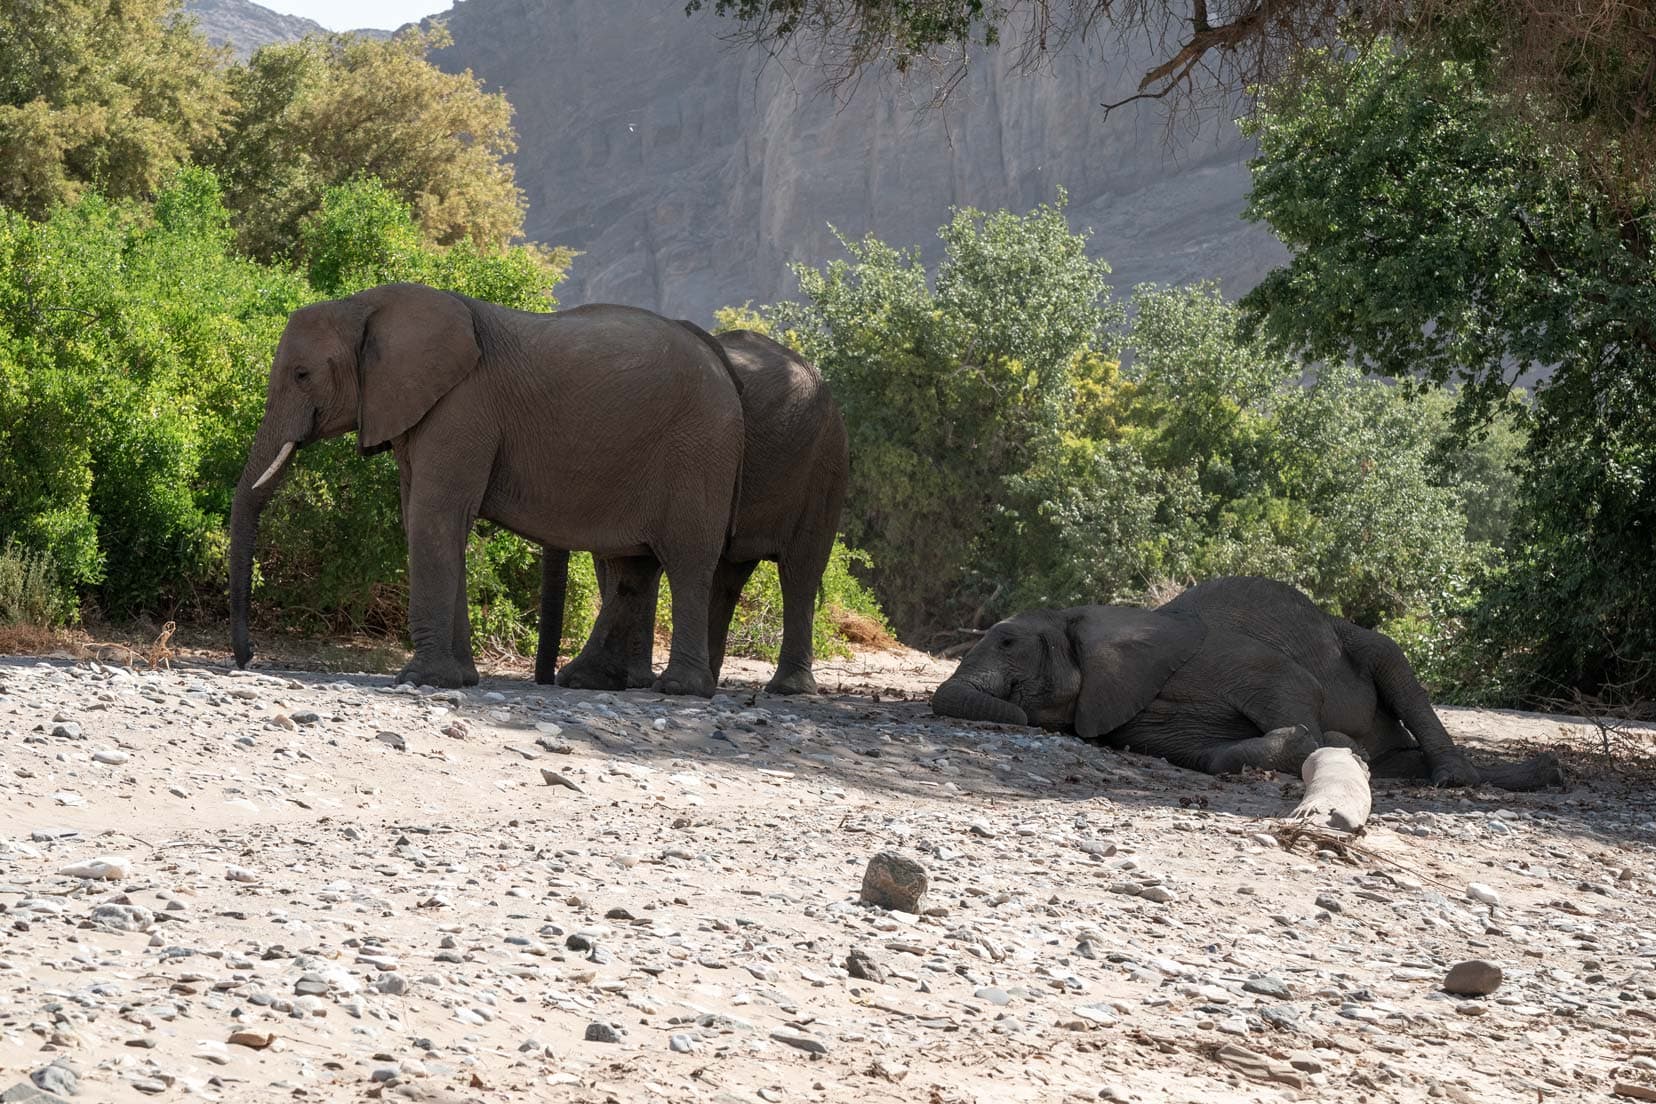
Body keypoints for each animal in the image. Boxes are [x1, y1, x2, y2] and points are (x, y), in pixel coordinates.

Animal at [228, 284, 745, 698]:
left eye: (301, 375)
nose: (246, 658)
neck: (365, 304)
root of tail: (721, 362)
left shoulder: (462, 406)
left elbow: (434, 517)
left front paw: (421, 680)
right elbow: (433, 520)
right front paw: (459, 680)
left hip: (700, 449)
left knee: (687, 560)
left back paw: (680, 689)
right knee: (631, 567)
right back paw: (591, 681)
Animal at [536, 326, 847, 691]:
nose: (543, 679)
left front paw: (622, 680)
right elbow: (618, 563)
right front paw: (612, 680)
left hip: (825, 465)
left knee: (799, 572)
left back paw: (787, 687)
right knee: (728, 577)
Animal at [933, 576, 1563, 791]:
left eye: (1007, 641)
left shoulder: (1216, 655)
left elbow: (1290, 683)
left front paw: (1332, 749)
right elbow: (1206, 755)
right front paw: (1336, 750)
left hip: (1363, 645)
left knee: (1393, 663)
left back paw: (1454, 778)